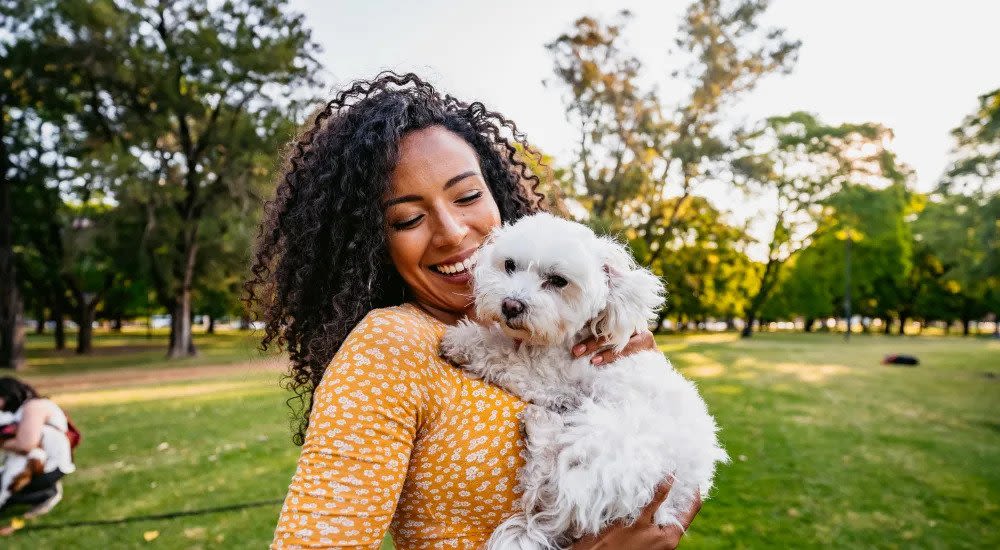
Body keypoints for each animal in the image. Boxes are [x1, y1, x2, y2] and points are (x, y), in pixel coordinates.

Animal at [444, 213, 728, 548]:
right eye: (510, 265)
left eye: (558, 281)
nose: (511, 305)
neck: (568, 340)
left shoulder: (552, 376)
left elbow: (506, 356)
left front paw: (463, 341)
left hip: (608, 443)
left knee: (547, 486)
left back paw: (541, 427)